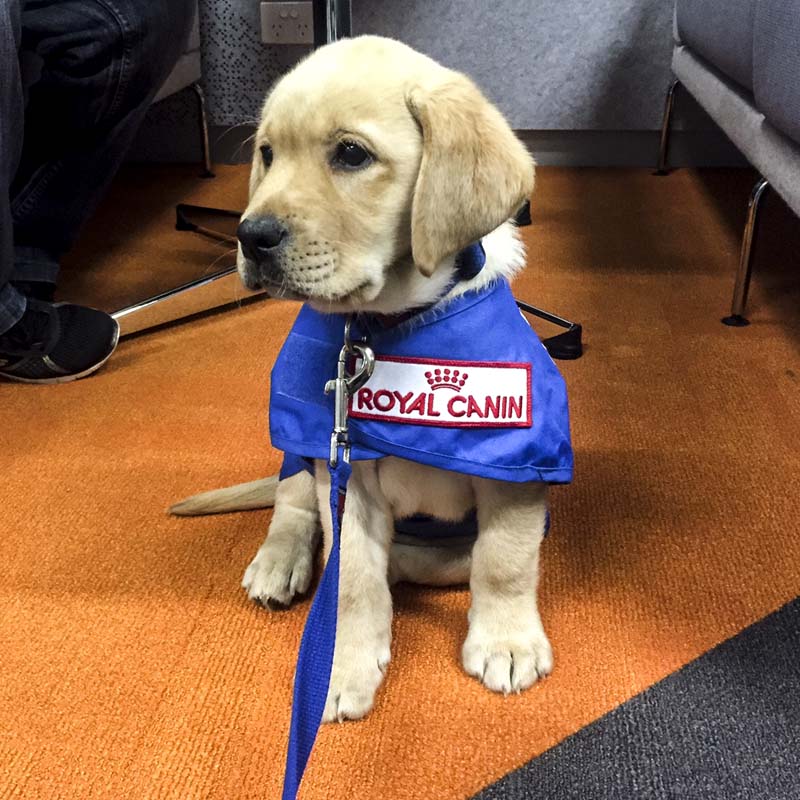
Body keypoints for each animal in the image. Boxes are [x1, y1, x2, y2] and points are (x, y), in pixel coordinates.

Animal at [173, 36, 556, 724]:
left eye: (351, 154)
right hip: (305, 455)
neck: (386, 325)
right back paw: (282, 560)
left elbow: (503, 560)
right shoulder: (346, 476)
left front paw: (507, 642)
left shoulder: (514, 465)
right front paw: (340, 661)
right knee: (292, 500)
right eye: (267, 154)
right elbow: (352, 575)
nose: (249, 235)